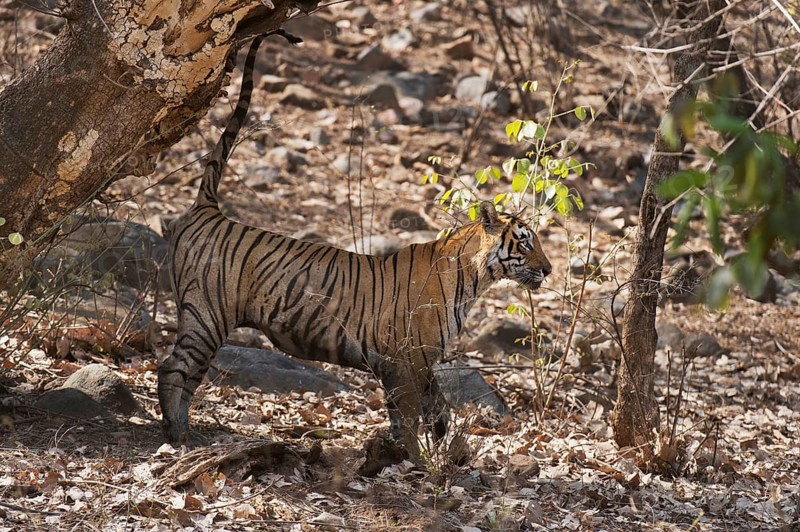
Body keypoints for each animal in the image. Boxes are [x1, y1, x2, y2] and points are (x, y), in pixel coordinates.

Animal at [157, 36, 553, 462]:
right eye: (525, 242)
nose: (548, 269)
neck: (474, 279)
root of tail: (208, 210)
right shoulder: (407, 358)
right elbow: (409, 415)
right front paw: (415, 460)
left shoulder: (418, 360)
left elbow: (434, 409)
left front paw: (437, 451)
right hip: (207, 316)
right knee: (172, 369)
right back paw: (178, 434)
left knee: (186, 374)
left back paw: (184, 432)